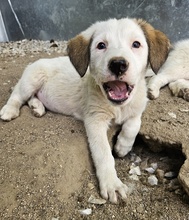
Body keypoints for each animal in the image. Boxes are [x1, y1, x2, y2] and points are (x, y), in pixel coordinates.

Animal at [0, 18, 171, 203]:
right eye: (101, 45)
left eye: (136, 44)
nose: (118, 64)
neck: (118, 106)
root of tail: (36, 62)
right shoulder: (94, 119)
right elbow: (103, 153)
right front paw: (112, 184)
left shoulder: (138, 106)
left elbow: (134, 124)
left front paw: (122, 147)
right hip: (31, 79)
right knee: (17, 95)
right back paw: (9, 110)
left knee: (31, 97)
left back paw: (37, 107)